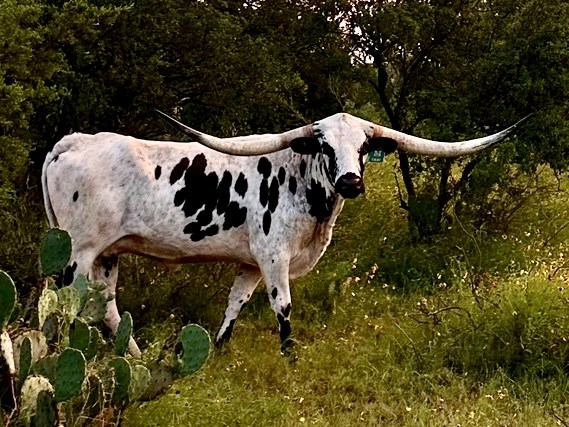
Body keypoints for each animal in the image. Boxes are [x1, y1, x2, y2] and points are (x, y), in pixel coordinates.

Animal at [41, 112, 529, 356]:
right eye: (325, 145)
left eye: (364, 148)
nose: (350, 181)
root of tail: (75, 140)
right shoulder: (274, 255)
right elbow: (283, 305)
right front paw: (289, 353)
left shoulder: (249, 262)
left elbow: (235, 304)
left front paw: (219, 350)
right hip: (77, 251)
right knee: (65, 303)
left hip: (108, 253)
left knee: (106, 307)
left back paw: (135, 356)